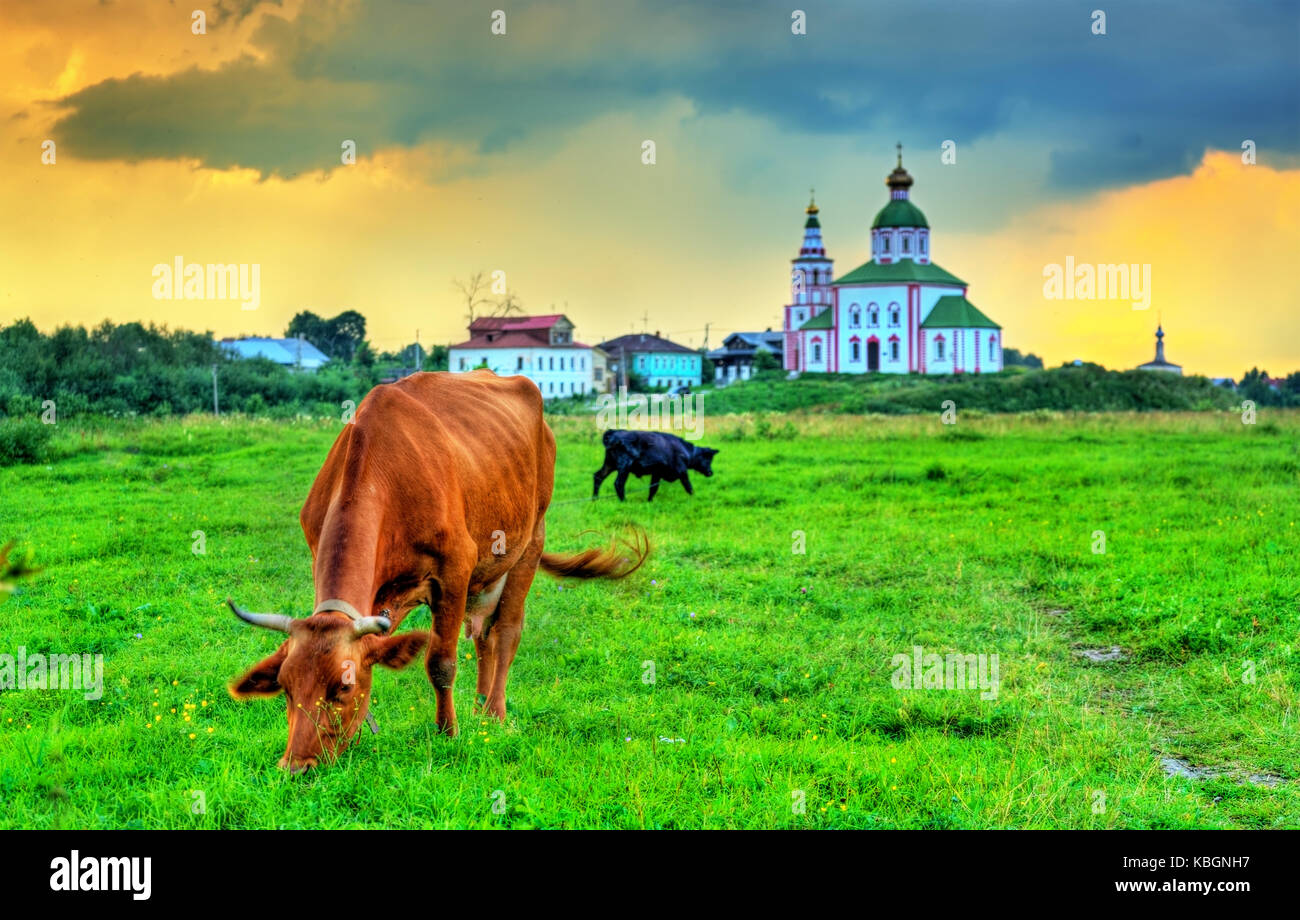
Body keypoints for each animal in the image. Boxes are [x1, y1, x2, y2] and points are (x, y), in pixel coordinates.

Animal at [227, 370, 648, 773]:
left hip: (530, 542)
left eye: (344, 687)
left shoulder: (455, 570)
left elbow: (441, 664)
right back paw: (480, 708)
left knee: (507, 632)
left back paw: (494, 713)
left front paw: (448, 732)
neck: (380, 475)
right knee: (484, 636)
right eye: (285, 687)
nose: (296, 767)